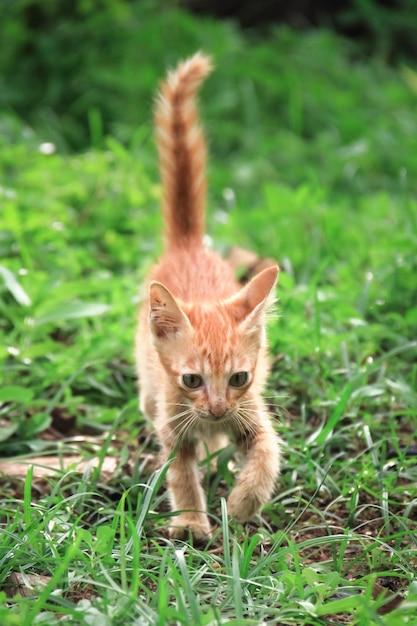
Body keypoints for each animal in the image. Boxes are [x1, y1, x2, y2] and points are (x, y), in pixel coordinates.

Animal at [136, 52, 280, 540]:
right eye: (192, 380)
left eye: (238, 378)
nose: (216, 409)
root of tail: (188, 245)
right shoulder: (173, 423)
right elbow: (179, 473)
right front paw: (192, 522)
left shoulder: (252, 412)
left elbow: (267, 456)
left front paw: (242, 504)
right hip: (149, 388)